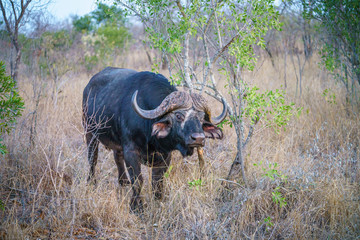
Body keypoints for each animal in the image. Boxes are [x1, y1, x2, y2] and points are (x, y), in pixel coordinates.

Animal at [83, 66, 226, 211]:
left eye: (202, 118)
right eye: (179, 116)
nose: (198, 138)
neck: (151, 138)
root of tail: (89, 86)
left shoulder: (165, 156)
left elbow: (157, 183)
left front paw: (157, 203)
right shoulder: (131, 152)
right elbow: (138, 181)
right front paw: (137, 207)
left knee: (117, 158)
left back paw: (123, 182)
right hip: (89, 133)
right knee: (92, 159)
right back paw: (91, 182)